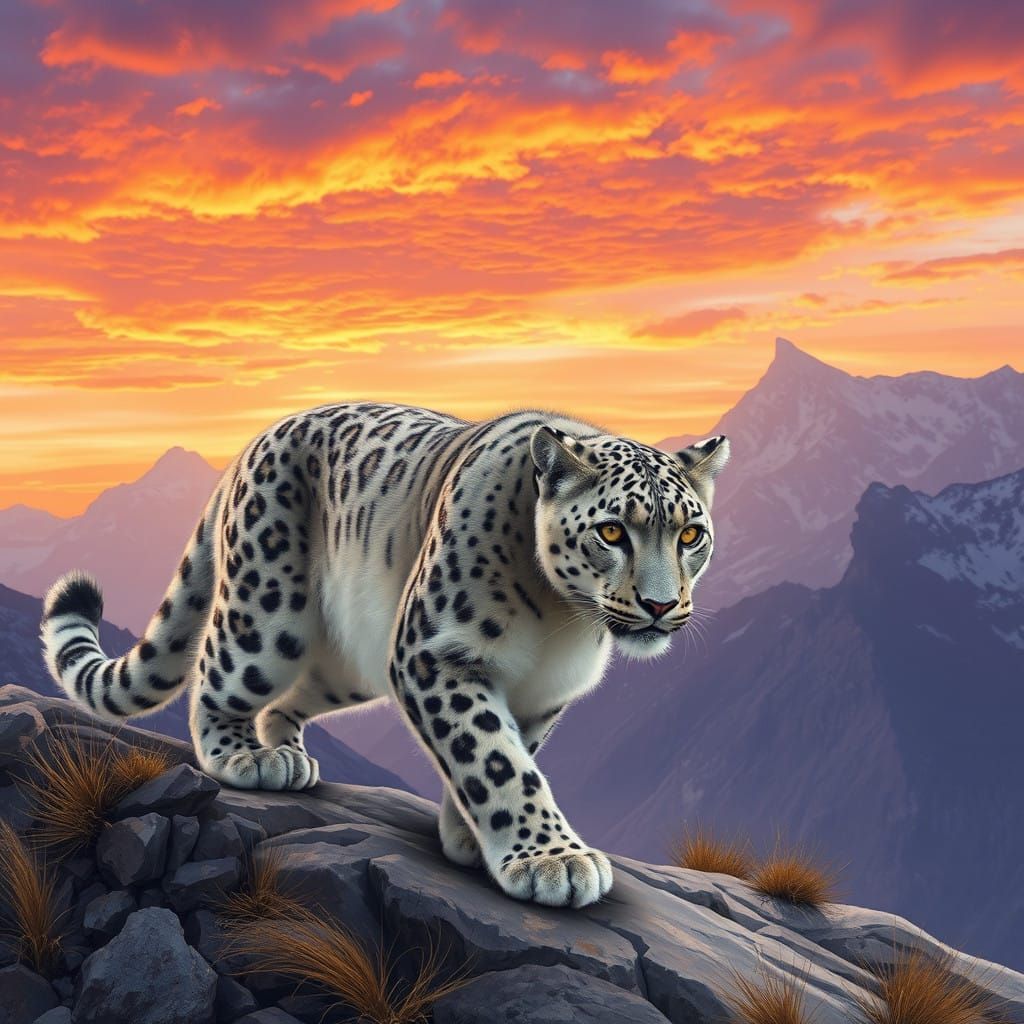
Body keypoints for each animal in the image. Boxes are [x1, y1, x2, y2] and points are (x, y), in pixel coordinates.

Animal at [41, 403, 729, 909]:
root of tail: (253, 442)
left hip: (351, 663)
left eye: (690, 534)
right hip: (267, 616)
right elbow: (494, 757)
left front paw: (471, 838)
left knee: (286, 701)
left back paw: (287, 751)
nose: (661, 605)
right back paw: (246, 757)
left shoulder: (542, 696)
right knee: (219, 674)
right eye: (612, 531)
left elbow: (511, 751)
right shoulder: (436, 653)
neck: (564, 621)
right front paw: (552, 859)